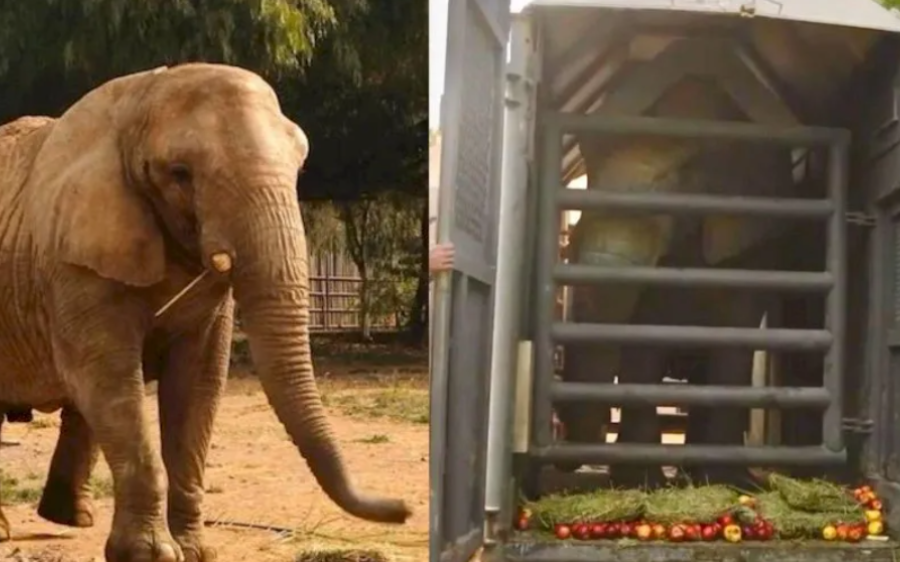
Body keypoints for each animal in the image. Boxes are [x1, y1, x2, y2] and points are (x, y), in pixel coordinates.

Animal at [0, 63, 411, 562]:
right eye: (179, 174)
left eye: (299, 165)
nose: (405, 509)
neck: (143, 94)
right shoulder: (73, 259)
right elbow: (108, 380)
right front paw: (150, 554)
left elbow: (196, 383)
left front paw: (194, 551)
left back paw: (73, 519)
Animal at [555, 77, 807, 487]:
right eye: (589, 166)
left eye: (682, 178)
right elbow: (642, 344)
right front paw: (639, 483)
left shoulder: (753, 244)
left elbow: (734, 341)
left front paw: (729, 482)